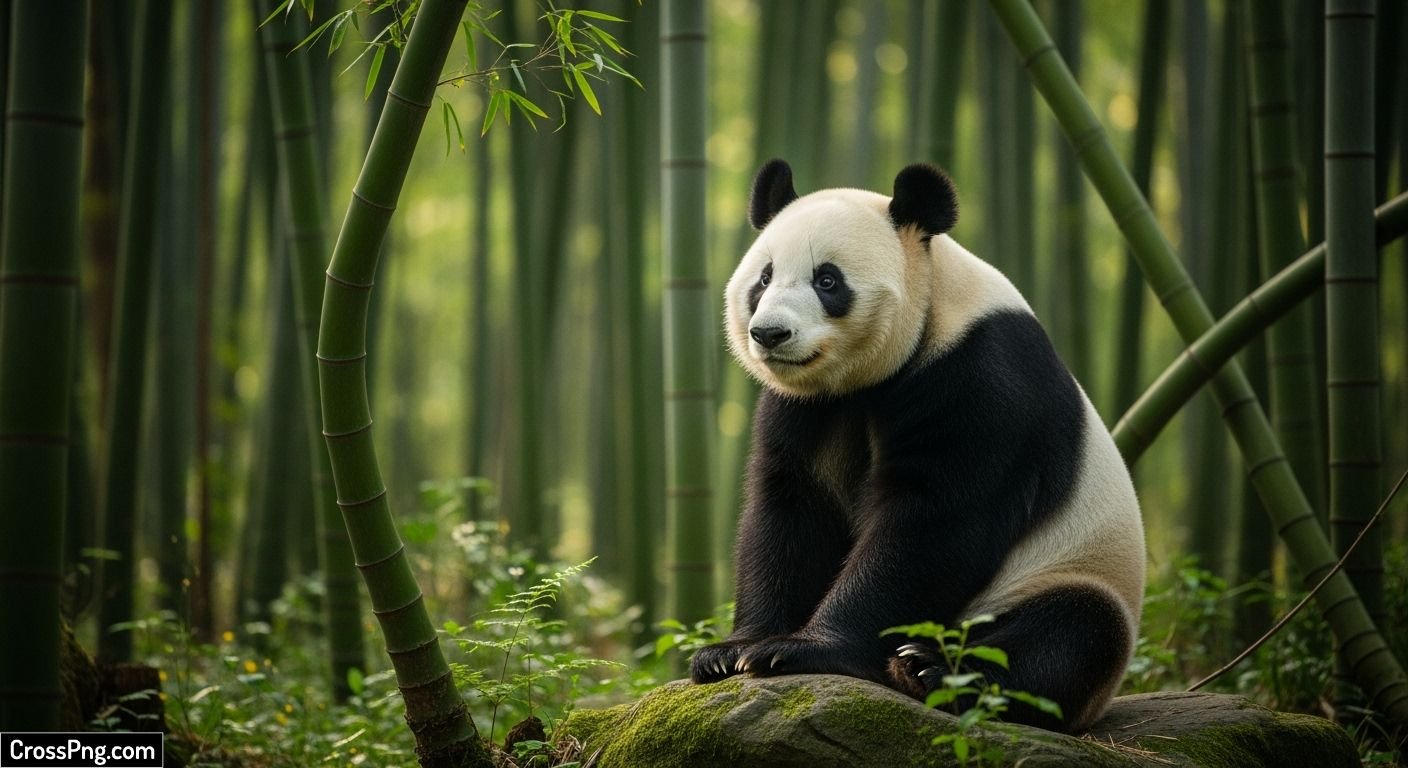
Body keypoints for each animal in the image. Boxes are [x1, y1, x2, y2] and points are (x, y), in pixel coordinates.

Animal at [689, 159, 1145, 734]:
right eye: (764, 277)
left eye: (827, 280)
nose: (769, 334)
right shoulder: (805, 407)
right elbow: (791, 511)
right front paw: (733, 651)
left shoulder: (980, 372)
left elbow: (933, 523)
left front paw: (797, 649)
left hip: (1067, 568)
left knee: (1071, 633)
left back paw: (930, 671)